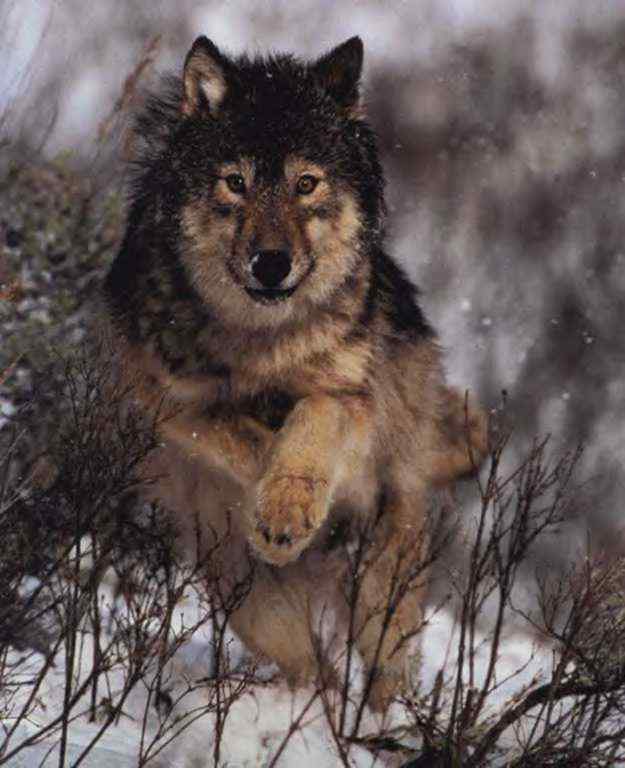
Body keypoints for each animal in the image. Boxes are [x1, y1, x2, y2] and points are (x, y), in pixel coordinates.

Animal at [103, 35, 488, 710]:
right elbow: (243, 436)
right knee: (317, 670)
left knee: (385, 668)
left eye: (306, 183)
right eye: (236, 182)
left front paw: (290, 508)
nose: (271, 263)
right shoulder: (168, 403)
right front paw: (280, 518)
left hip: (386, 587)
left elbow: (310, 424)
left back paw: (384, 723)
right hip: (255, 610)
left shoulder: (349, 397)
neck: (262, 339)